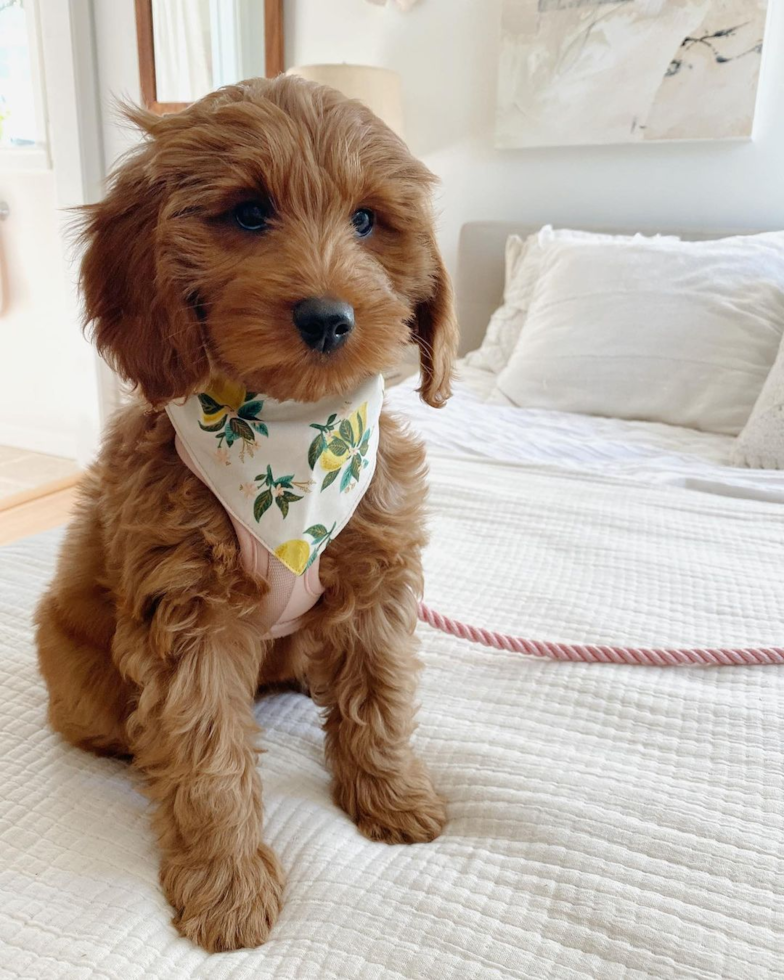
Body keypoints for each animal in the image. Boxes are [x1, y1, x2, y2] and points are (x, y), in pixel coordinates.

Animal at [33, 76, 456, 948]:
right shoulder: (187, 615)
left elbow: (380, 693)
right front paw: (225, 886)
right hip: (78, 674)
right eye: (250, 214)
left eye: (368, 221)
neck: (292, 432)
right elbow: (204, 753)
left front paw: (394, 796)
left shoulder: (378, 577)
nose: (329, 318)